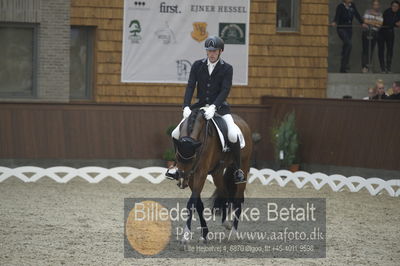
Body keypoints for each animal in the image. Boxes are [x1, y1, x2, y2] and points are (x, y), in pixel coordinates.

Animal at [173, 107, 253, 243]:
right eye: (178, 156)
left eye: (193, 158)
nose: (182, 182)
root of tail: (243, 122)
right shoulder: (192, 176)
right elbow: (198, 204)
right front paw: (204, 233)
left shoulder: (201, 173)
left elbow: (191, 203)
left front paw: (186, 235)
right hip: (217, 172)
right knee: (225, 193)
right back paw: (225, 222)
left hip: (244, 166)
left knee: (238, 200)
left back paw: (233, 233)